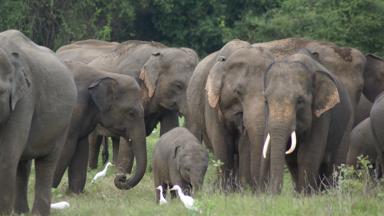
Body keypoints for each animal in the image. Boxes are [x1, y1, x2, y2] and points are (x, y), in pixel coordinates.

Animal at [0, 30, 77, 216]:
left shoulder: (25, 99)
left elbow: (6, 155)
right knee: (23, 165)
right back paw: (21, 212)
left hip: (64, 123)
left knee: (46, 164)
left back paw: (37, 213)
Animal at [52, 61, 146, 194]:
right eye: (131, 113)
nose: (122, 177)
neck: (102, 74)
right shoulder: (72, 111)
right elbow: (65, 149)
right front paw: (52, 190)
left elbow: (81, 149)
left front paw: (75, 194)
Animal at [186, 39, 272, 190]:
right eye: (238, 92)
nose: (258, 188)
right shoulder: (212, 104)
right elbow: (221, 142)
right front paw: (223, 190)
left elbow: (245, 144)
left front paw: (243, 189)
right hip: (192, 106)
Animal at [262, 49, 352, 193]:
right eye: (266, 100)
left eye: (300, 100)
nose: (271, 194)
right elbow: (292, 158)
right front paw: (301, 195)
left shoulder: (321, 115)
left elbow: (308, 155)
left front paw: (306, 195)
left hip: (347, 124)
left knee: (334, 164)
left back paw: (329, 193)